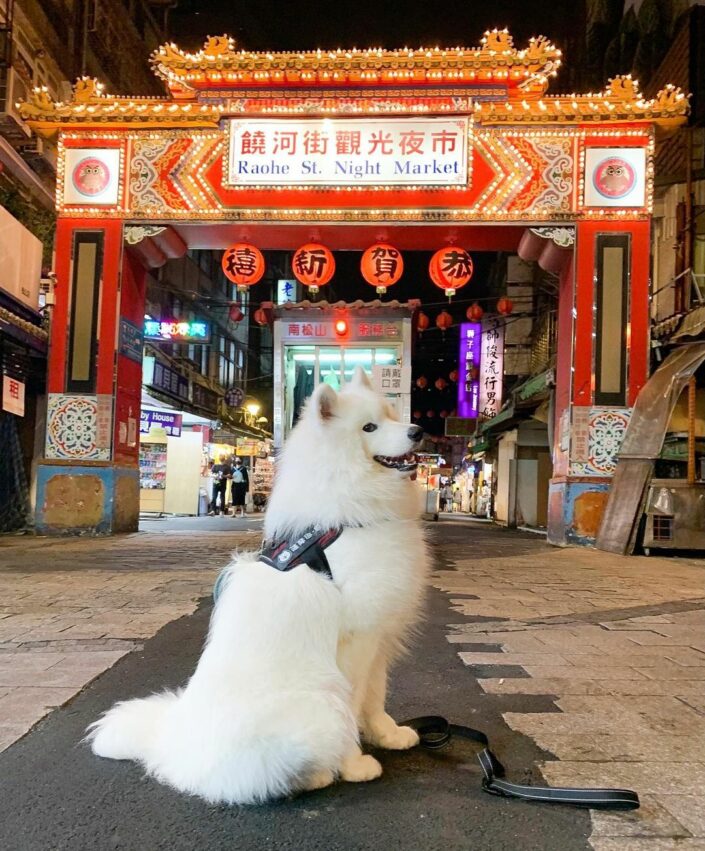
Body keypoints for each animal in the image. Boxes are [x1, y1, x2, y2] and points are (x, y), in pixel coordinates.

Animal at [88, 368, 428, 804]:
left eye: (390, 415)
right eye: (369, 427)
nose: (417, 431)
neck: (345, 520)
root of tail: (171, 748)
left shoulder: (378, 638)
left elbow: (375, 696)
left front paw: (388, 735)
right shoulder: (356, 642)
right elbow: (354, 705)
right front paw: (354, 765)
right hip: (315, 704)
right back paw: (316, 774)